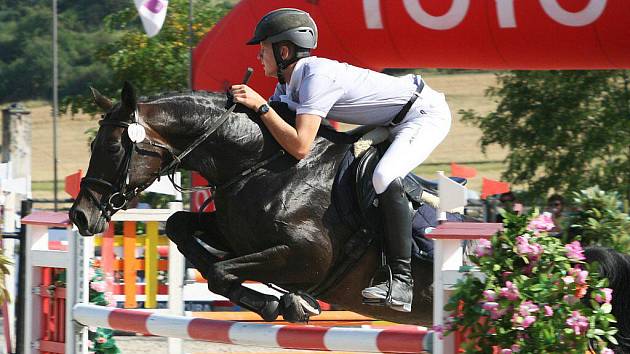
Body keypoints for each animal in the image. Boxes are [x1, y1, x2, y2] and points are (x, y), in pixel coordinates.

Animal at [70, 83, 630, 352]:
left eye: (114, 147)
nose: (79, 216)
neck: (261, 162)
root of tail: (567, 259)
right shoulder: (233, 233)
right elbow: (185, 233)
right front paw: (283, 303)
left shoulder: (306, 256)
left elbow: (225, 271)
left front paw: (286, 304)